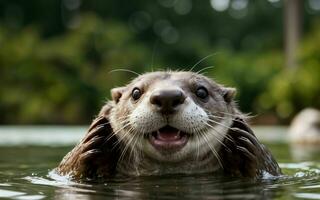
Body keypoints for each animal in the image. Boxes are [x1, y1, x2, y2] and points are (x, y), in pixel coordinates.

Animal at [57, 71, 280, 180]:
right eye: (136, 92)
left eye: (201, 91)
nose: (166, 96)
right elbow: (67, 168)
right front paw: (93, 140)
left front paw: (244, 143)